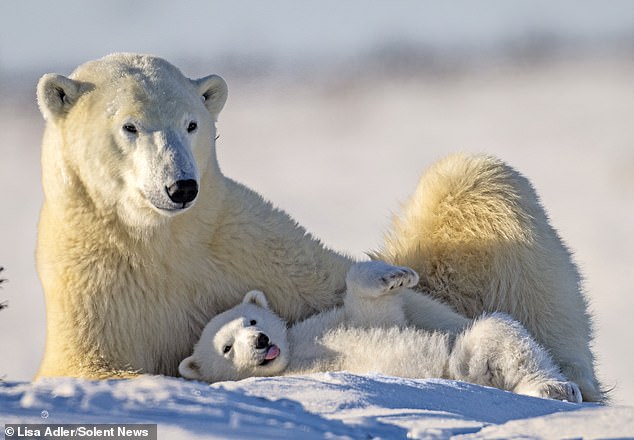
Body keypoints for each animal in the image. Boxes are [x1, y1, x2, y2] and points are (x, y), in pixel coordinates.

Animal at [180, 262, 580, 402]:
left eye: (252, 321)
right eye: (227, 348)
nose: (261, 342)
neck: (294, 357)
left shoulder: (320, 325)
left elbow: (376, 314)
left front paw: (395, 276)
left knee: (502, 332)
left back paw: (557, 388)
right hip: (460, 366)